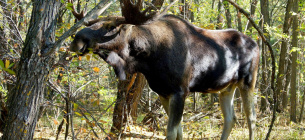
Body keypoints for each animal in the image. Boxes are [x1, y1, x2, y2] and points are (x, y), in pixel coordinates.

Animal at [69, 0, 258, 139]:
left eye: (110, 27)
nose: (77, 39)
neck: (148, 59)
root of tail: (256, 44)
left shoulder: (180, 91)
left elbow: (171, 132)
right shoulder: (163, 92)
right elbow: (179, 132)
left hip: (248, 81)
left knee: (251, 118)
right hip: (226, 88)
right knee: (230, 119)